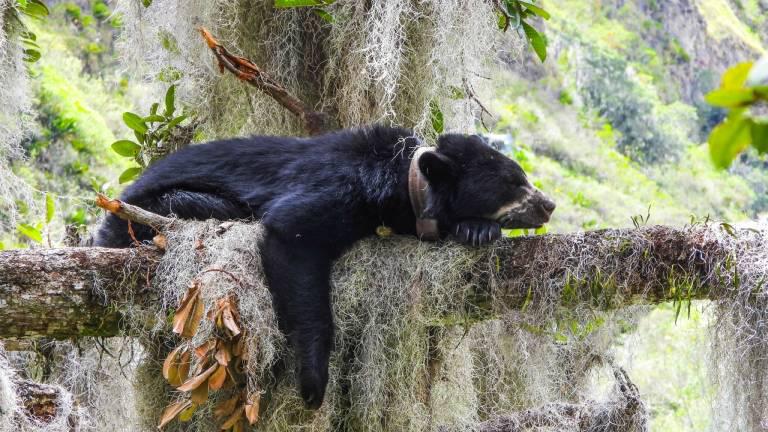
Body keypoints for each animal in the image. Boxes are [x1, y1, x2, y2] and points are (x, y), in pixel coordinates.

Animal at [94, 125, 552, 408]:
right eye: (514, 182)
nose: (548, 204)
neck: (404, 179)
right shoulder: (344, 186)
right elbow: (293, 233)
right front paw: (314, 383)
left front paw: (477, 229)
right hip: (150, 212)